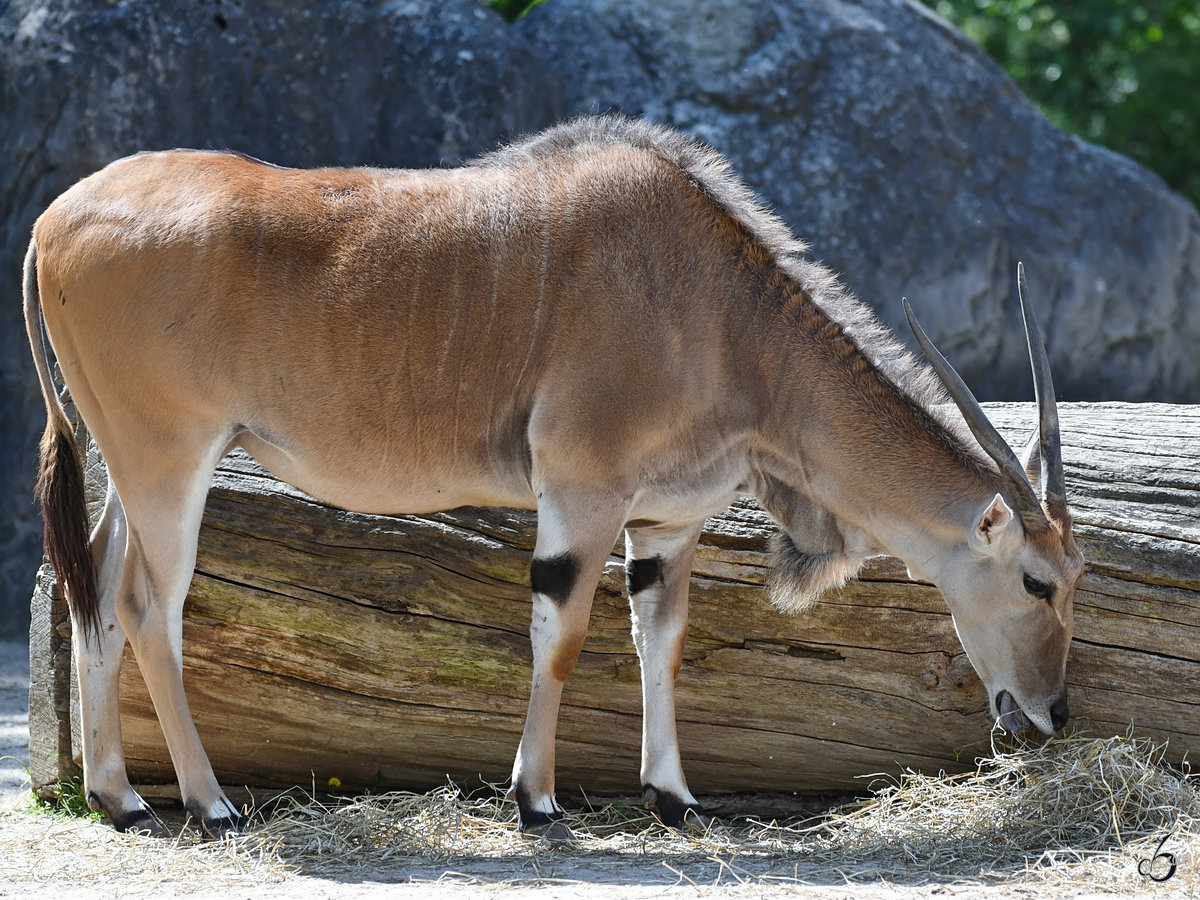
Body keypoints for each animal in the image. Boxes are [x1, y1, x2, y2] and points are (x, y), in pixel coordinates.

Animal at [23, 118, 1084, 840]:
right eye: (1038, 582)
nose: (1054, 711)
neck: (721, 312)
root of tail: (51, 225)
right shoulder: (582, 491)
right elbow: (563, 636)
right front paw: (534, 799)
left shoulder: (663, 524)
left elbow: (661, 641)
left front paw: (673, 795)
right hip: (169, 462)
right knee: (149, 604)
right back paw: (210, 804)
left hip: (134, 471)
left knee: (96, 592)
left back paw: (120, 798)